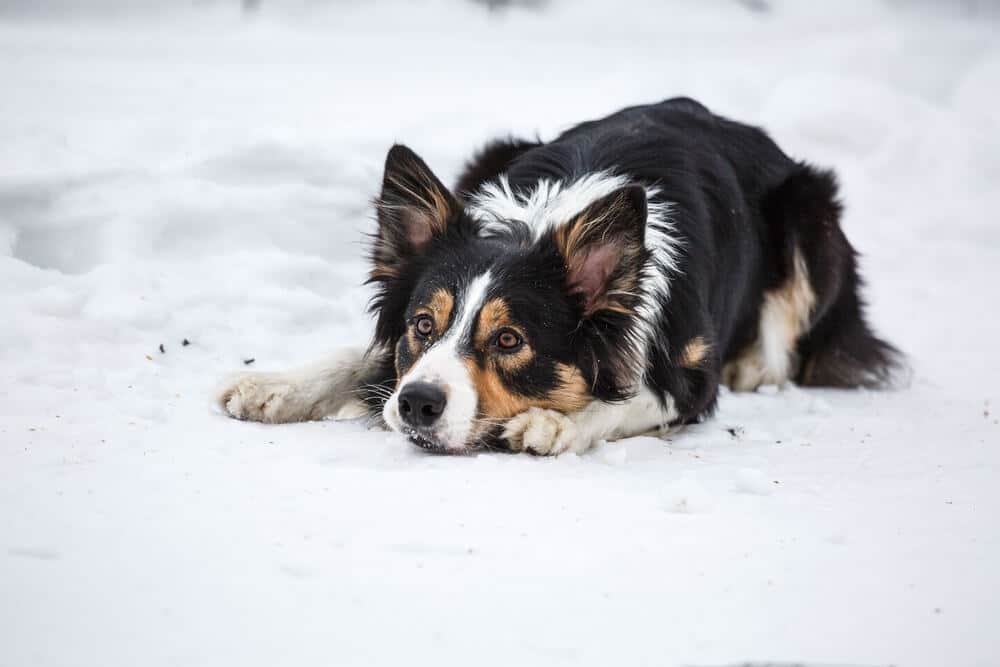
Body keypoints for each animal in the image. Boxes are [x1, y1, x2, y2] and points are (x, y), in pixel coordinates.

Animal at [217, 96, 900, 456]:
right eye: (422, 324)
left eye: (509, 339)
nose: (416, 404)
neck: (536, 226)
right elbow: (360, 355)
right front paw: (275, 385)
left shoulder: (690, 374)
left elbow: (630, 398)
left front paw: (555, 422)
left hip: (809, 215)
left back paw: (754, 365)